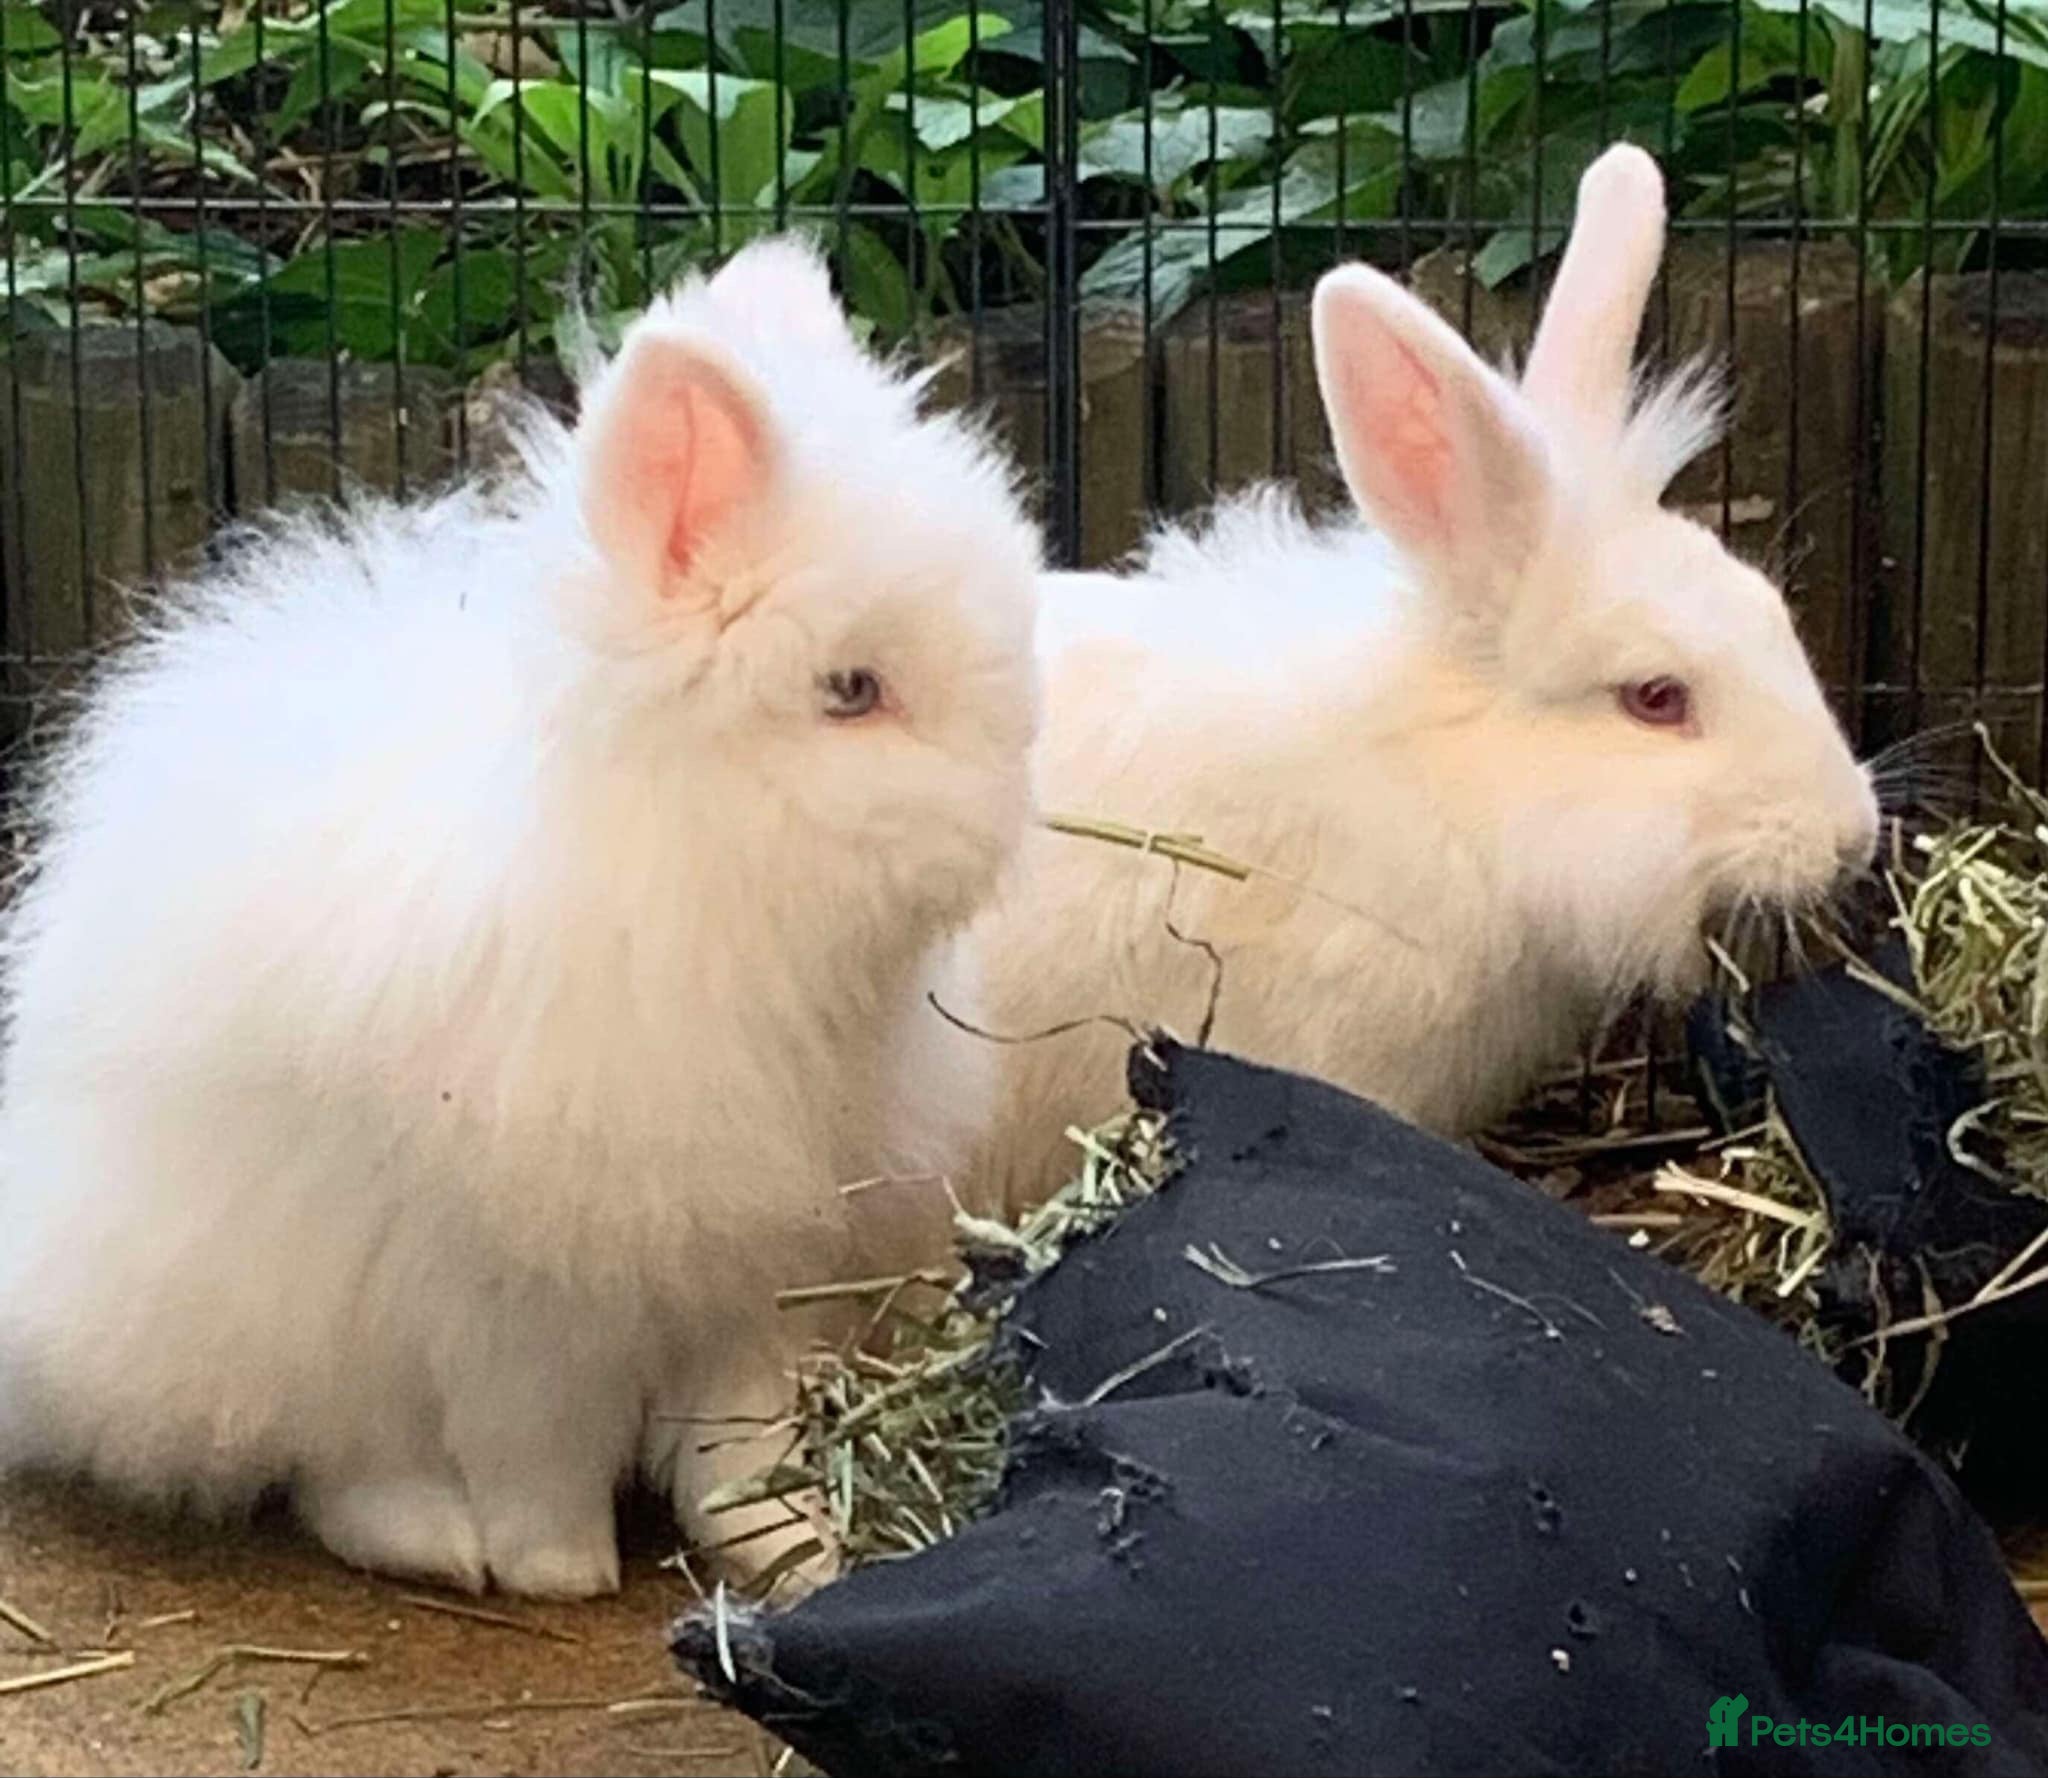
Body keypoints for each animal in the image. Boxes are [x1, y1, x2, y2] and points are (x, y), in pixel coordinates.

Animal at [0, 237, 1042, 1599]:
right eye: (851, 691)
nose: (1013, 801)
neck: (696, 886)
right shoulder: (523, 1298)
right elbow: (533, 1442)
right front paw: (558, 1563)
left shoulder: (760, 1264)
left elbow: (738, 1432)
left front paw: (792, 1546)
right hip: (263, 1305)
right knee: (338, 1455)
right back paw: (433, 1540)